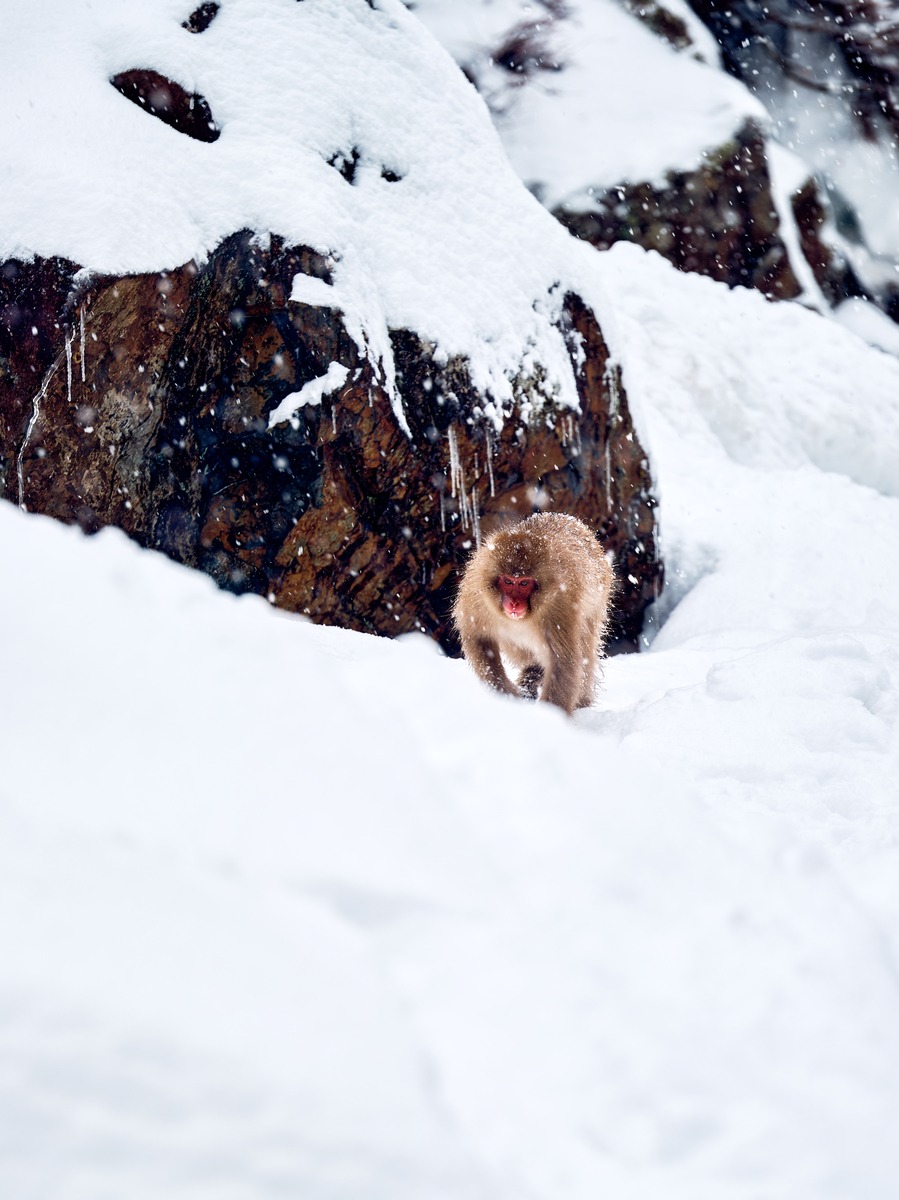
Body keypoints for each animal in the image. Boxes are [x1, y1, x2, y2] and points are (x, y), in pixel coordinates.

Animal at [452, 512, 615, 715]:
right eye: (508, 581)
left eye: (523, 583)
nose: (514, 603)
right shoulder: (477, 596)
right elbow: (478, 639)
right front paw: (505, 694)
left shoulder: (559, 608)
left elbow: (563, 660)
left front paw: (551, 715)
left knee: (585, 649)